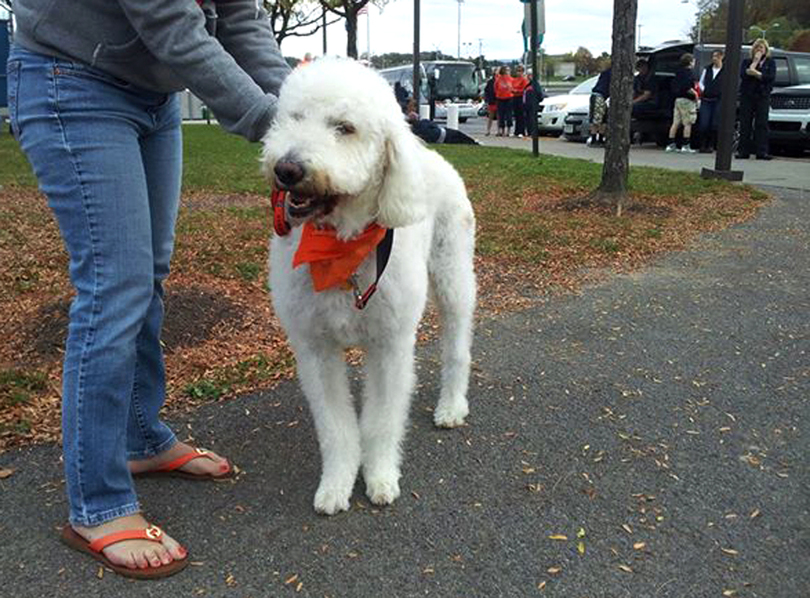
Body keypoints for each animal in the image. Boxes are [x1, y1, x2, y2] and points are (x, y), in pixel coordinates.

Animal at [262, 59, 474, 516]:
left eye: (345, 127)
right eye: (295, 118)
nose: (287, 169)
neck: (342, 246)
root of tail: (431, 154)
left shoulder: (389, 347)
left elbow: (380, 421)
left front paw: (379, 476)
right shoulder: (316, 350)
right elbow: (336, 427)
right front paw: (337, 484)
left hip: (454, 278)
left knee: (457, 348)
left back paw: (451, 406)